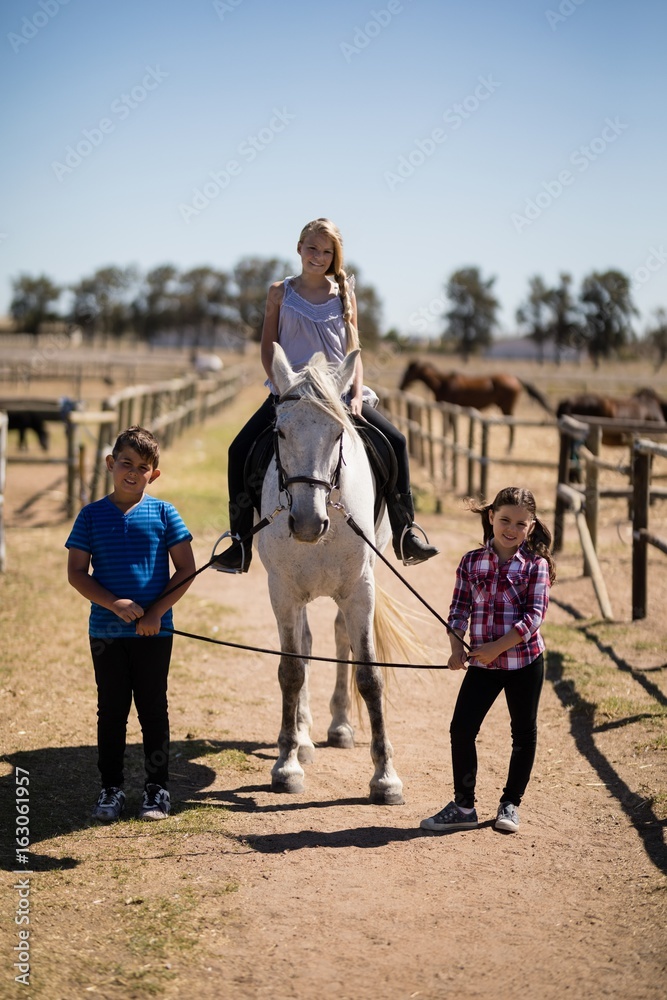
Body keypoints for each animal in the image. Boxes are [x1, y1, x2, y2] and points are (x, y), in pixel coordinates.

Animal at [256, 343, 405, 804]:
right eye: (280, 434)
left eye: (339, 434)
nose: (307, 523)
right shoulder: (282, 591)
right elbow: (291, 670)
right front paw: (287, 765)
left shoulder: (360, 588)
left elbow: (370, 676)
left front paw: (385, 777)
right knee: (304, 645)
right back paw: (303, 740)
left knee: (340, 637)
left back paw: (339, 727)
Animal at [399, 359, 553, 451]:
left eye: (408, 372)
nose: (400, 386)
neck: (443, 383)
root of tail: (514, 378)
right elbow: (450, 425)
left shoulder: (450, 407)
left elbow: (449, 425)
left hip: (506, 407)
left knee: (512, 425)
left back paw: (509, 448)